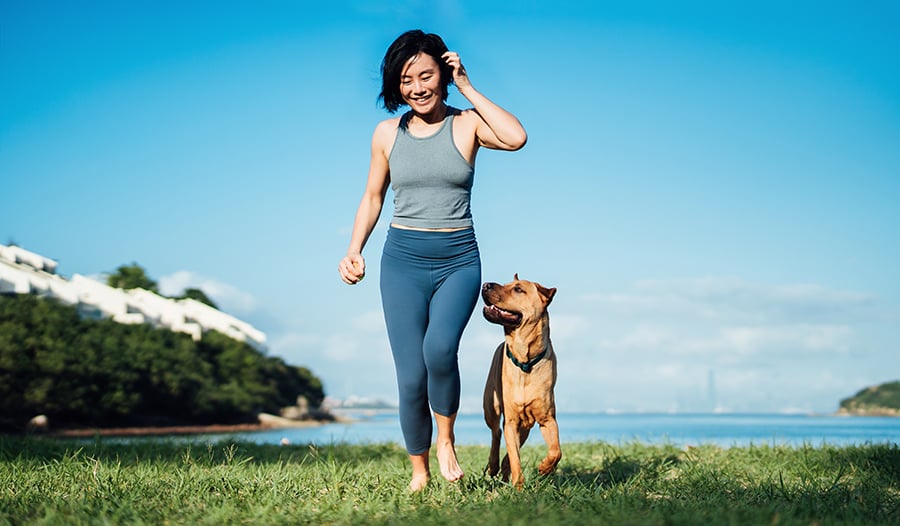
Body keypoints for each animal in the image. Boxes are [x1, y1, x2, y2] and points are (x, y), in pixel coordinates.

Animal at [482, 276, 560, 490]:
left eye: (518, 289)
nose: (485, 284)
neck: (525, 361)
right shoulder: (511, 421)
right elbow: (515, 456)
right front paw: (518, 486)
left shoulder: (547, 418)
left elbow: (556, 450)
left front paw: (545, 467)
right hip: (491, 407)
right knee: (496, 432)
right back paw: (494, 465)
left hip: (525, 426)